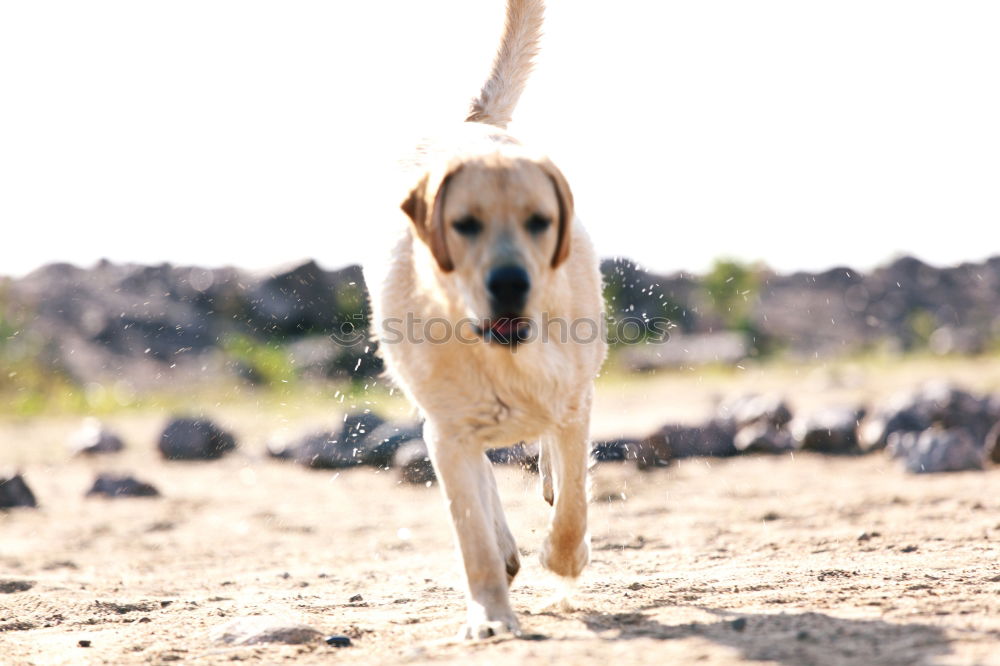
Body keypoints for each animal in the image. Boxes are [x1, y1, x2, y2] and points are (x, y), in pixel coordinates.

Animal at [366, 0, 600, 636]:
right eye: (465, 224)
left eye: (539, 221)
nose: (510, 284)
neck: (504, 348)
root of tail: (469, 122)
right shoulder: (446, 433)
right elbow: (471, 534)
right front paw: (492, 616)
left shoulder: (575, 403)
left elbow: (574, 506)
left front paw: (564, 559)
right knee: (485, 484)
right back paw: (508, 551)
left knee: (552, 464)